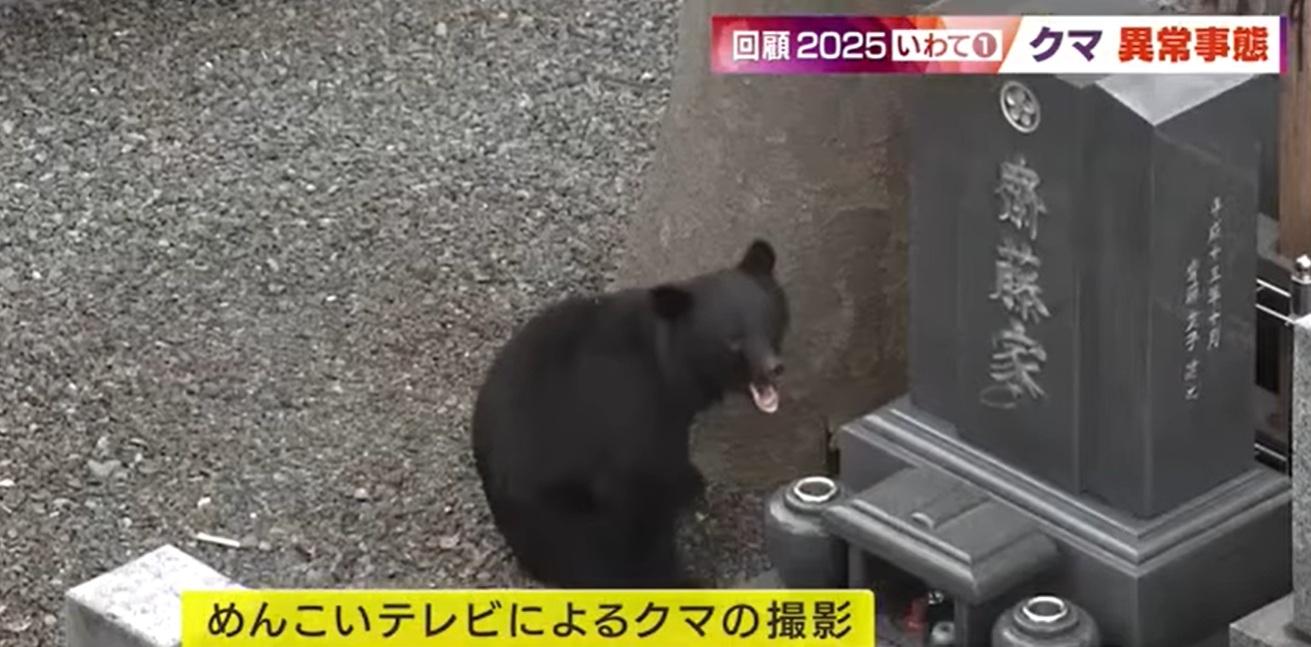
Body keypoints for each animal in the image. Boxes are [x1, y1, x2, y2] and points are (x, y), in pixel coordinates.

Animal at [471, 239, 790, 588]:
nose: (773, 368)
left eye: (769, 323)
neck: (671, 367)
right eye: (733, 341)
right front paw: (677, 578)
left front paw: (692, 483)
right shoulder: (632, 417)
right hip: (560, 509)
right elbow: (644, 495)